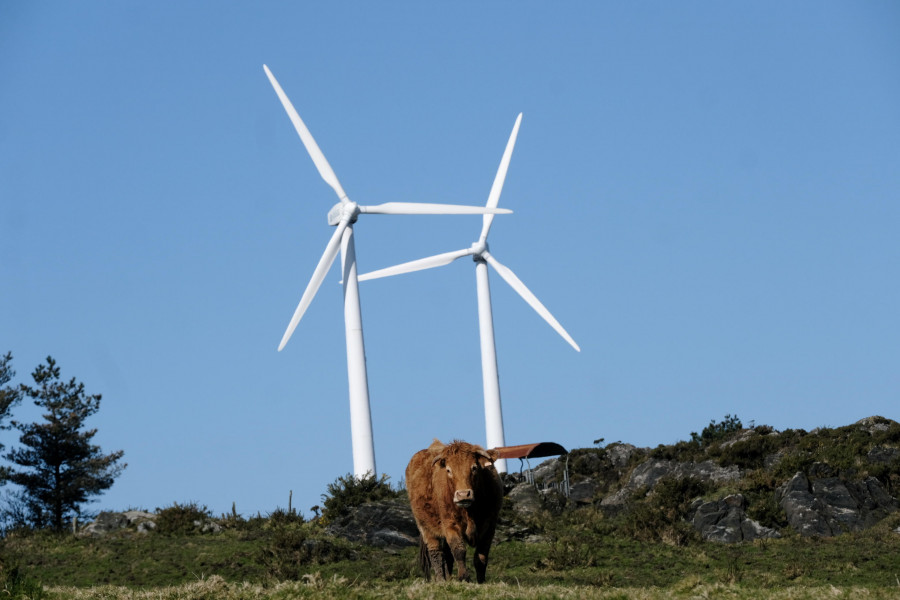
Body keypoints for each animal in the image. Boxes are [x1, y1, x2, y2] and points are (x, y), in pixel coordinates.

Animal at [404, 438, 502, 584]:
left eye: (474, 468)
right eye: (449, 470)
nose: (463, 494)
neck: (470, 511)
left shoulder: (490, 526)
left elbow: (481, 557)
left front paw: (481, 581)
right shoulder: (450, 524)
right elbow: (459, 551)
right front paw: (464, 577)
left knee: (447, 555)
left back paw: (448, 578)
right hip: (425, 527)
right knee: (436, 553)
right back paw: (441, 580)